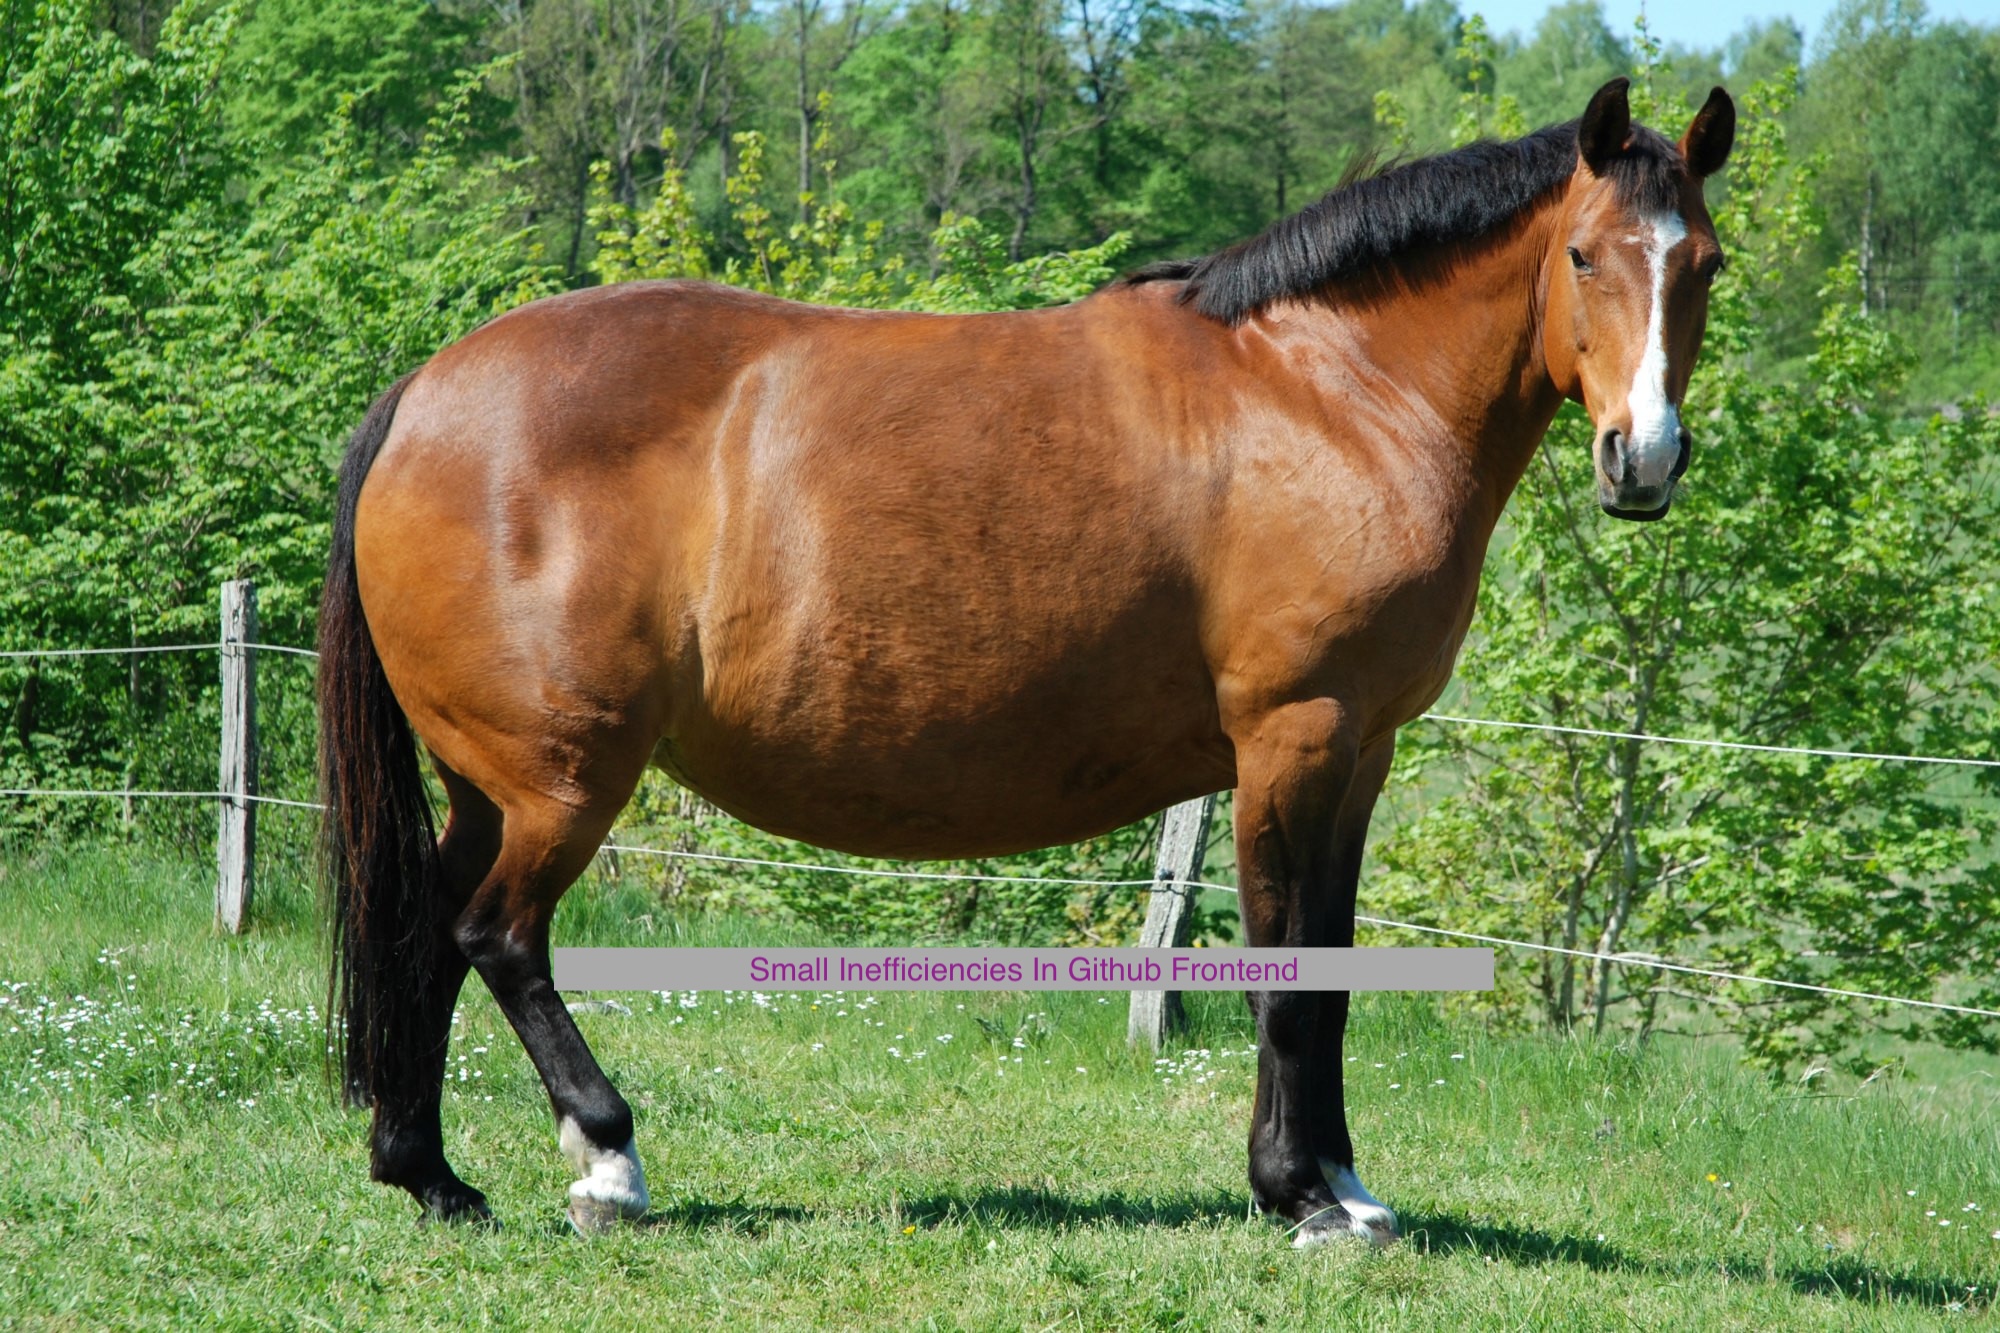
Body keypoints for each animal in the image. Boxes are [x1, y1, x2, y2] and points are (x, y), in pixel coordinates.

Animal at [319, 76, 1734, 1245]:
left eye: (1703, 265)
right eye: (1581, 254)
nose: (1643, 459)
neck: (1329, 392)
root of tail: (425, 394)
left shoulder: (1361, 750)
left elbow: (1326, 967)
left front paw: (1343, 1183)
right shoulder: (1293, 735)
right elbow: (1284, 977)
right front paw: (1298, 1195)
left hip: (487, 780)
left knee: (428, 928)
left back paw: (428, 1173)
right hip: (564, 776)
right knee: (498, 933)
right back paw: (607, 1161)